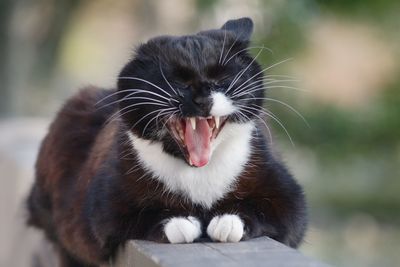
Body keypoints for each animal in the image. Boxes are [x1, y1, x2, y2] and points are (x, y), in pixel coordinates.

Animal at [27, 17, 306, 266]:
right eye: (178, 82)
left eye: (221, 80)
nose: (202, 99)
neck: (199, 173)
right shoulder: (103, 209)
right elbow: (136, 217)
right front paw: (181, 222)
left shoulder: (287, 194)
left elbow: (281, 213)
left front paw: (228, 220)